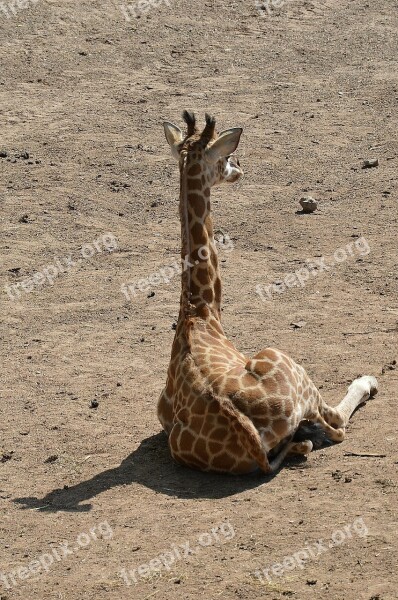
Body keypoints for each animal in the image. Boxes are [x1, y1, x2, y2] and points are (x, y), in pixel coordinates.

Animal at [157, 112, 378, 476]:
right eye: (224, 157)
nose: (238, 167)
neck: (199, 310)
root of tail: (248, 435)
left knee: (308, 440)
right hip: (285, 361)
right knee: (336, 424)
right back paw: (368, 380)